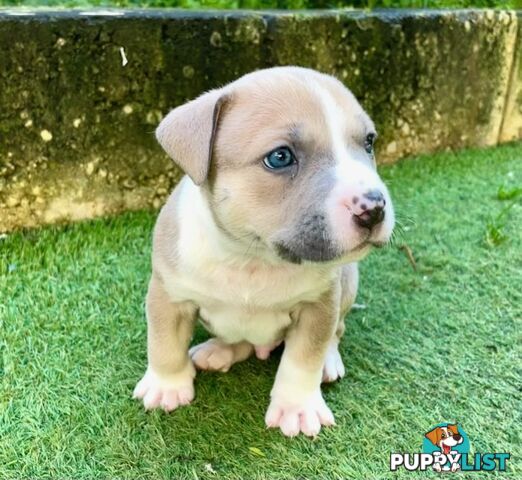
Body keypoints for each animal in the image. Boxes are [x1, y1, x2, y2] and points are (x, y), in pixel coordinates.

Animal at [132, 65, 392, 436]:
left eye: (369, 142)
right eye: (280, 157)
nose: (374, 207)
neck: (251, 257)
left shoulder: (319, 306)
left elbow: (303, 358)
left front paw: (297, 407)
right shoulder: (169, 295)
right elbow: (164, 342)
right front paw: (166, 386)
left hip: (347, 284)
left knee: (336, 332)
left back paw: (328, 360)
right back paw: (219, 351)